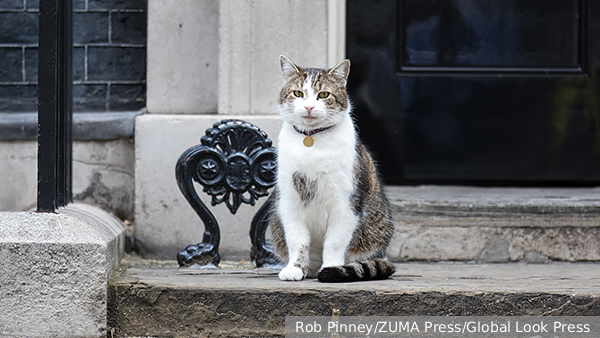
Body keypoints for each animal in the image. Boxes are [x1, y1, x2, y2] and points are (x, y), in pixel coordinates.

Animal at [270, 56, 396, 282]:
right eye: (298, 93)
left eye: (323, 95)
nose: (309, 107)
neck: (311, 140)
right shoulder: (289, 201)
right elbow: (296, 240)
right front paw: (295, 268)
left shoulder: (346, 204)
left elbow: (335, 242)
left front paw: (331, 268)